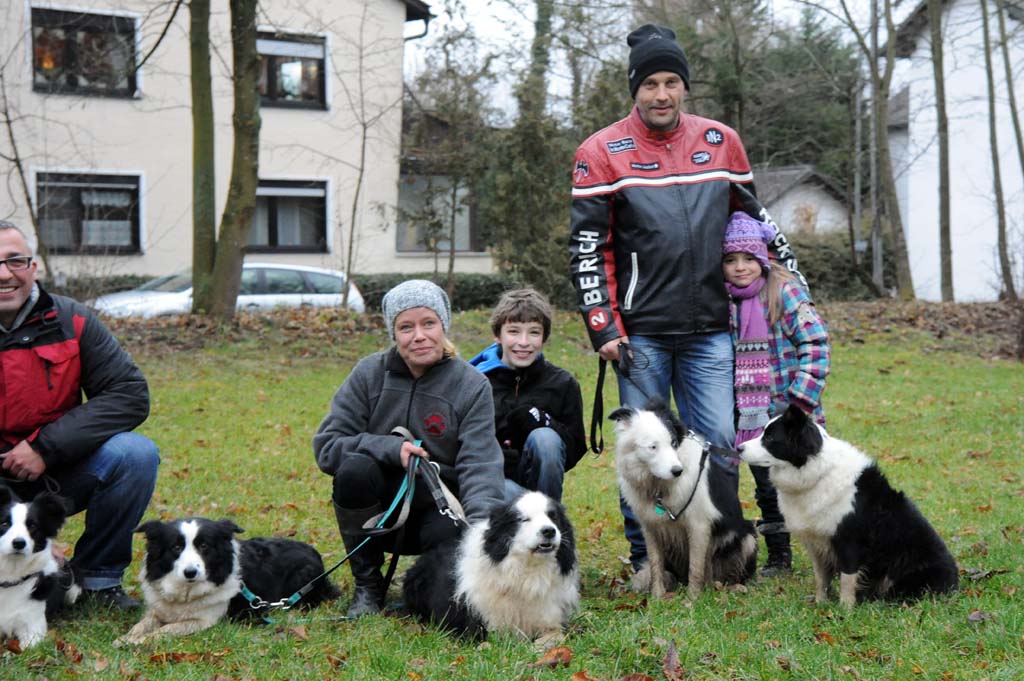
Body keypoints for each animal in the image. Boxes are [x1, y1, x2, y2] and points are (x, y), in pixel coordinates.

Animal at [116, 518, 337, 647]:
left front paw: (141, 640)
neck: (187, 591)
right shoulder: (159, 610)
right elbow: (143, 623)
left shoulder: (205, 621)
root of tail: (315, 553)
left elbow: (168, 629)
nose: (190, 572)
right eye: (176, 547)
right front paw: (127, 637)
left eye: (204, 546)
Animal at [401, 491, 581, 639]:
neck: (525, 573)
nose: (549, 531)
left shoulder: (551, 619)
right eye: (523, 519)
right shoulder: (481, 625)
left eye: (553, 517)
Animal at [606, 401, 761, 598]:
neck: (658, 486)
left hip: (747, 537)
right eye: (652, 447)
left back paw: (732, 587)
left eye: (673, 443)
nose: (677, 471)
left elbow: (695, 566)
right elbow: (656, 564)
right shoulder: (650, 526)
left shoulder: (699, 524)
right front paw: (657, 596)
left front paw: (693, 598)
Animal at [741, 403, 954, 606]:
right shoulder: (816, 541)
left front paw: (845, 609)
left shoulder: (850, 540)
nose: (739, 447)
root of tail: (955, 582)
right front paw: (821, 602)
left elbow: (847, 578)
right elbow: (821, 577)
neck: (817, 470)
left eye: (769, 439)